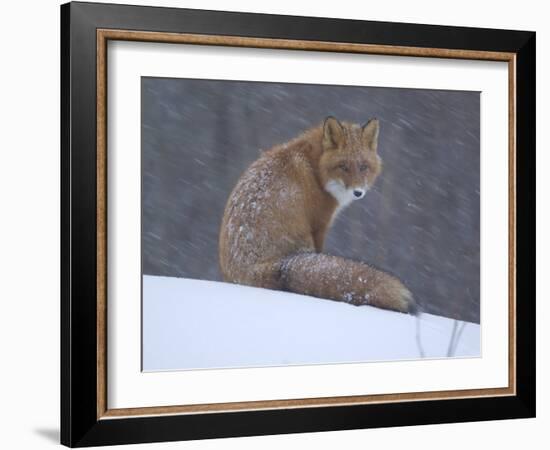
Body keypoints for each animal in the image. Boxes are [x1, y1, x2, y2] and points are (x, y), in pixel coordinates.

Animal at [220, 116, 418, 312]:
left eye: (363, 167)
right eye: (343, 166)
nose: (358, 192)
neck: (315, 168)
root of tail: (252, 270)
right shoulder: (319, 224)